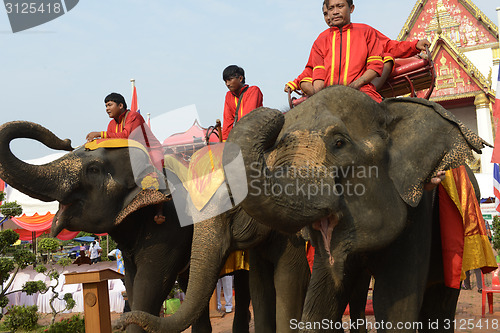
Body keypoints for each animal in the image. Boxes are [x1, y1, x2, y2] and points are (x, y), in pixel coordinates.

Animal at [224, 85, 492, 330]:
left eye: (339, 143)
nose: (277, 112)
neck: (386, 110)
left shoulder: (419, 211)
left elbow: (393, 304)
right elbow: (319, 303)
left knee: (440, 301)